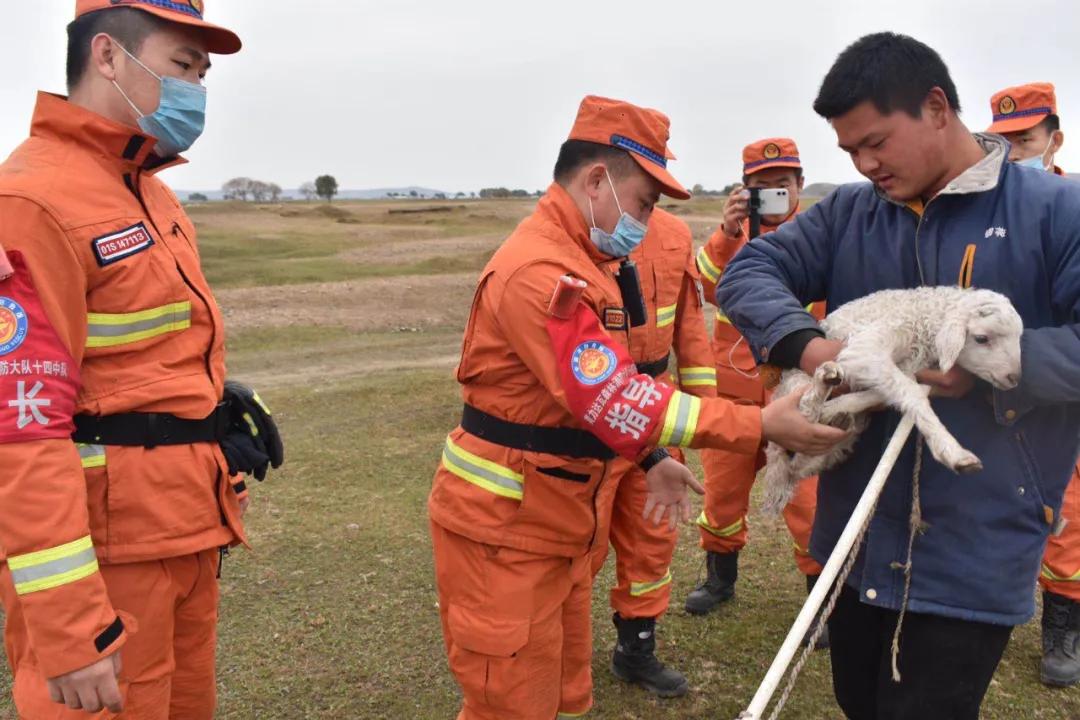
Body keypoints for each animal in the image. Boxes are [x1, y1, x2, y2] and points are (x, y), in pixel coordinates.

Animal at [760, 284, 1019, 515]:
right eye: (981, 338)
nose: (1015, 377)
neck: (924, 319)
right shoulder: (866, 348)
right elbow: (911, 392)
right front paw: (953, 451)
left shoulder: (907, 368)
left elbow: (894, 390)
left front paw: (838, 406)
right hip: (795, 381)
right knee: (802, 413)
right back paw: (825, 382)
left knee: (798, 467)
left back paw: (837, 419)